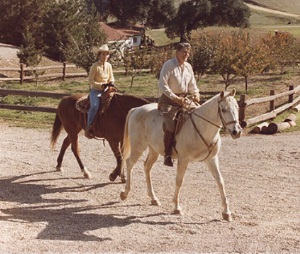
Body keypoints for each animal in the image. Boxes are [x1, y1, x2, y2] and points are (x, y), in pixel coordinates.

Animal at [119, 90, 241, 221]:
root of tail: (136, 109)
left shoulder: (211, 159)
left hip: (153, 150)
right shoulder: (183, 159)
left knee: (147, 167)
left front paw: (226, 212)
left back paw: (153, 198)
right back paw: (125, 193)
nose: (236, 132)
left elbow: (220, 181)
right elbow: (179, 181)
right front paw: (177, 207)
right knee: (129, 163)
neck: (201, 127)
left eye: (237, 107)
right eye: (223, 109)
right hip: (138, 147)